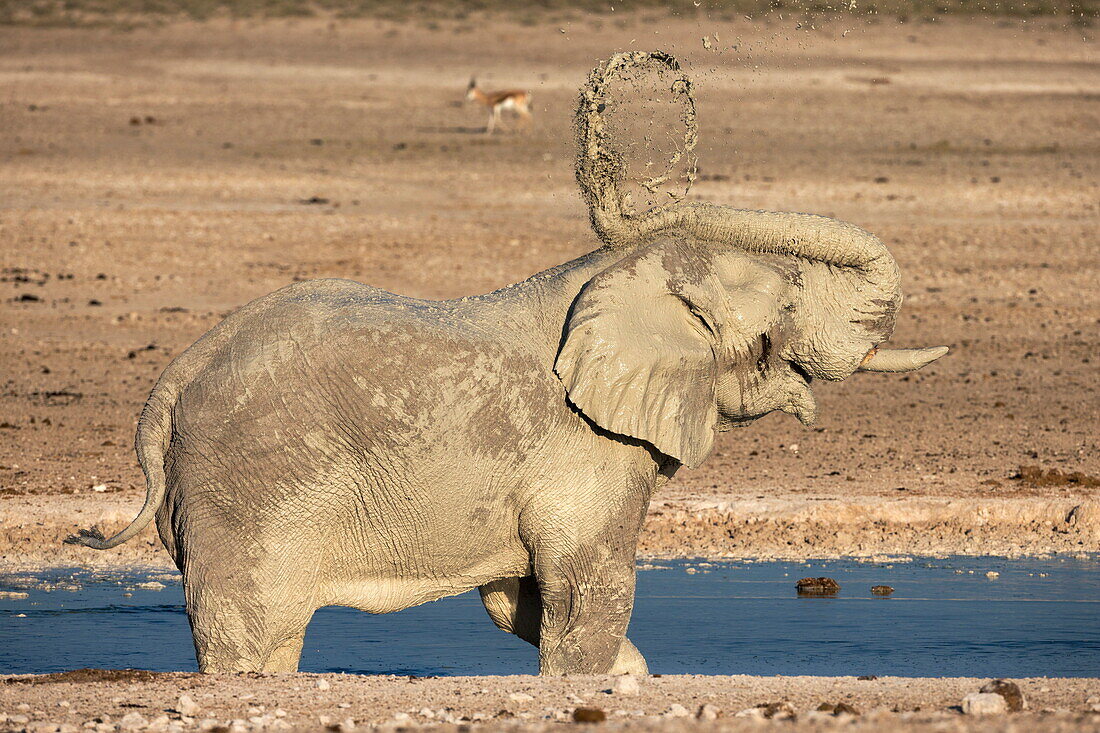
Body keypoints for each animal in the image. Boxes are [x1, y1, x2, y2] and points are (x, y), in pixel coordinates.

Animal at [66, 54, 946, 677]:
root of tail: (169, 385)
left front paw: (631, 675)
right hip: (249, 496)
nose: (632, 80)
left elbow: (519, 600)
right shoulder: (589, 452)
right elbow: (589, 590)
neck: (624, 273)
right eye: (784, 313)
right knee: (254, 635)